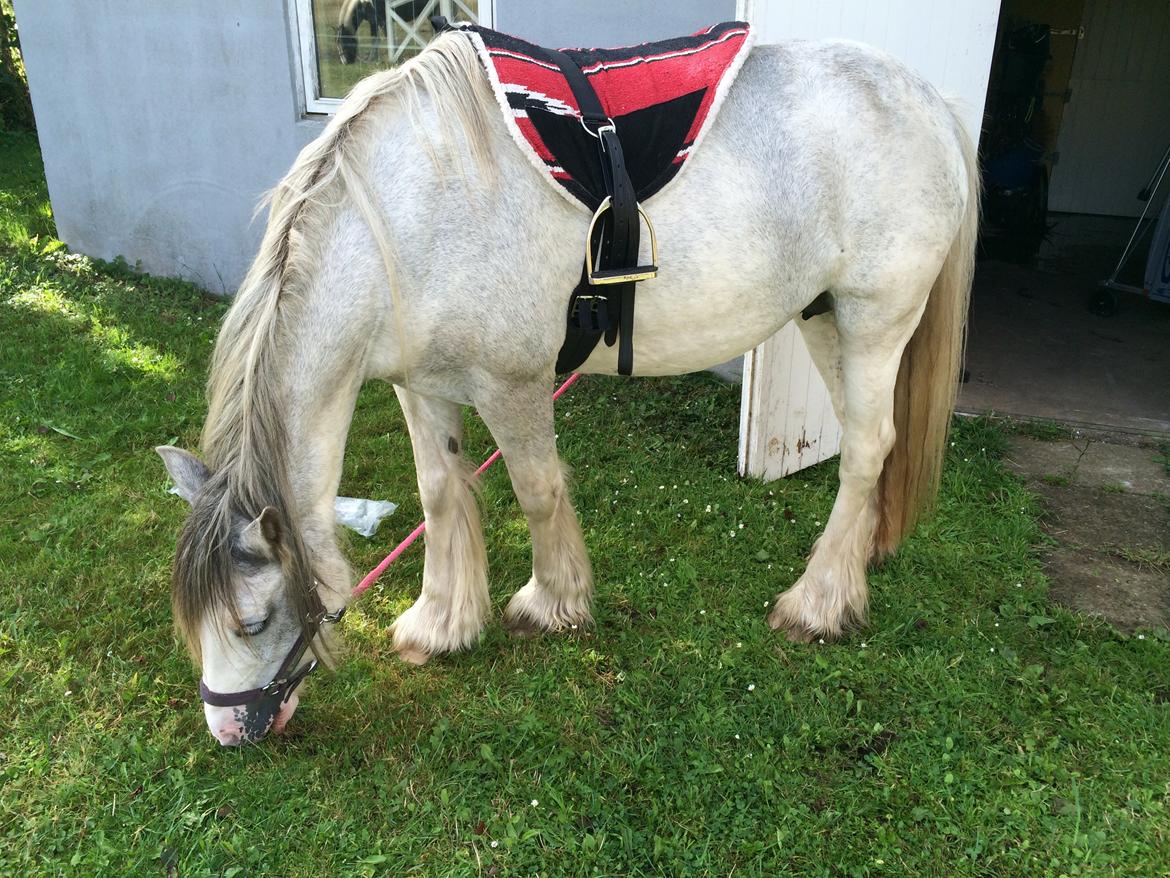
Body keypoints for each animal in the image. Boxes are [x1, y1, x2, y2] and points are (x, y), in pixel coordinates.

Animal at [157, 36, 978, 749]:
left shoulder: (511, 384)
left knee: (866, 449)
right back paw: (857, 561)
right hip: (826, 318)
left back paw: (817, 604)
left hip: (874, 318)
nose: (227, 730)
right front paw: (442, 623)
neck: (403, 214)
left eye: (253, 622)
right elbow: (439, 492)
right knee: (870, 448)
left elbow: (537, 488)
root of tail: (931, 101)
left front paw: (551, 603)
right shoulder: (421, 386)